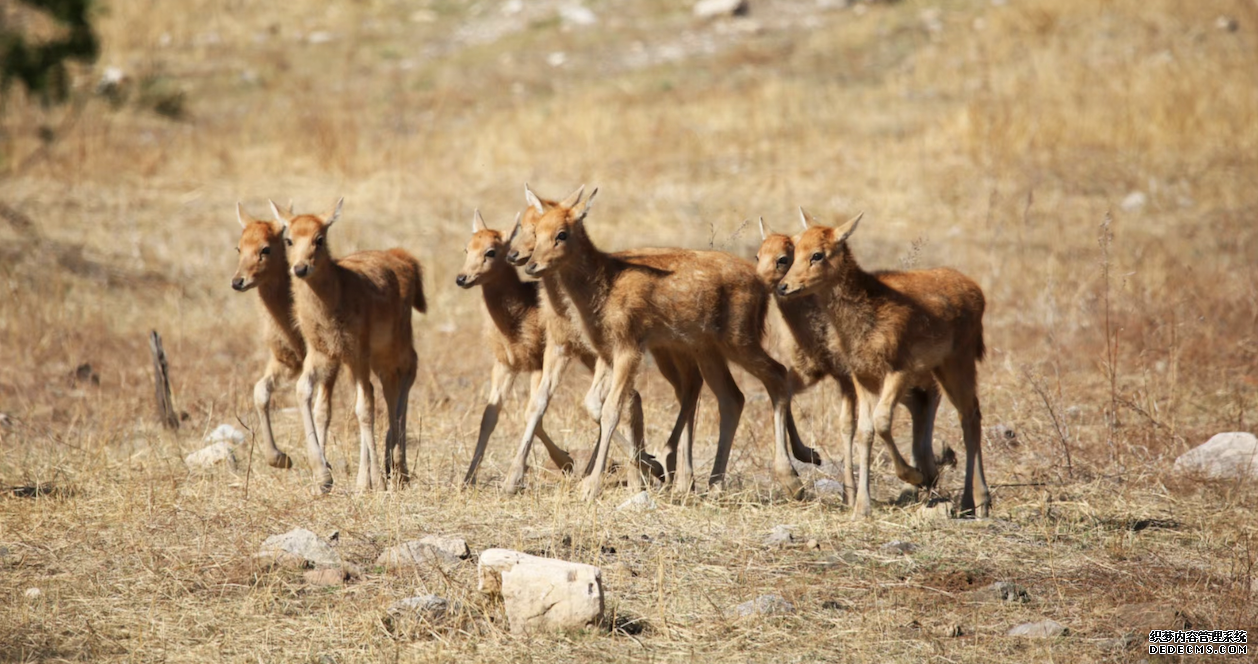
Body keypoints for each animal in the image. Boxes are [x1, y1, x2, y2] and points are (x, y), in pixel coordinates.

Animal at [231, 202, 337, 472]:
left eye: (265, 248)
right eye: (239, 247)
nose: (238, 281)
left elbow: (321, 408)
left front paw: (321, 465)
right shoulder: (285, 361)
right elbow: (260, 391)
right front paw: (280, 458)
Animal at [267, 198, 425, 492]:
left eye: (319, 238)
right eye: (289, 239)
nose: (300, 268)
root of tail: (406, 260)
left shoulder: (357, 352)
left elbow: (364, 408)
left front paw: (376, 481)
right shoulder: (322, 353)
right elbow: (304, 391)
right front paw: (323, 475)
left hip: (395, 343)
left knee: (407, 373)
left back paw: (397, 469)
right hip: (375, 358)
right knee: (386, 388)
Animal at [518, 183, 805, 500]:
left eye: (562, 234)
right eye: (537, 231)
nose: (531, 265)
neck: (601, 287)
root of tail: (762, 285)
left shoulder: (629, 348)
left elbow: (612, 410)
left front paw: (593, 486)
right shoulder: (606, 351)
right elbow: (594, 404)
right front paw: (641, 468)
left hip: (739, 338)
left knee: (777, 373)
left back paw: (791, 479)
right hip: (707, 348)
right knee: (732, 397)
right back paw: (714, 482)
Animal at [749, 215, 946, 505]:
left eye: (784, 258)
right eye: (758, 254)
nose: (762, 282)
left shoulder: (847, 377)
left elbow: (847, 427)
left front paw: (849, 494)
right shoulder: (810, 372)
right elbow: (782, 395)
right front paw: (805, 458)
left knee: (932, 393)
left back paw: (921, 474)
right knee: (918, 403)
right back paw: (923, 475)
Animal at [774, 208, 991, 518]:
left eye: (817, 254)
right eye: (795, 250)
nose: (784, 286)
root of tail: (979, 293)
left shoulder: (899, 369)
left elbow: (882, 421)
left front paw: (915, 475)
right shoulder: (861, 376)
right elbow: (864, 431)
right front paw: (861, 507)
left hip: (959, 361)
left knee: (969, 415)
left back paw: (978, 501)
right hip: (941, 366)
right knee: (965, 412)